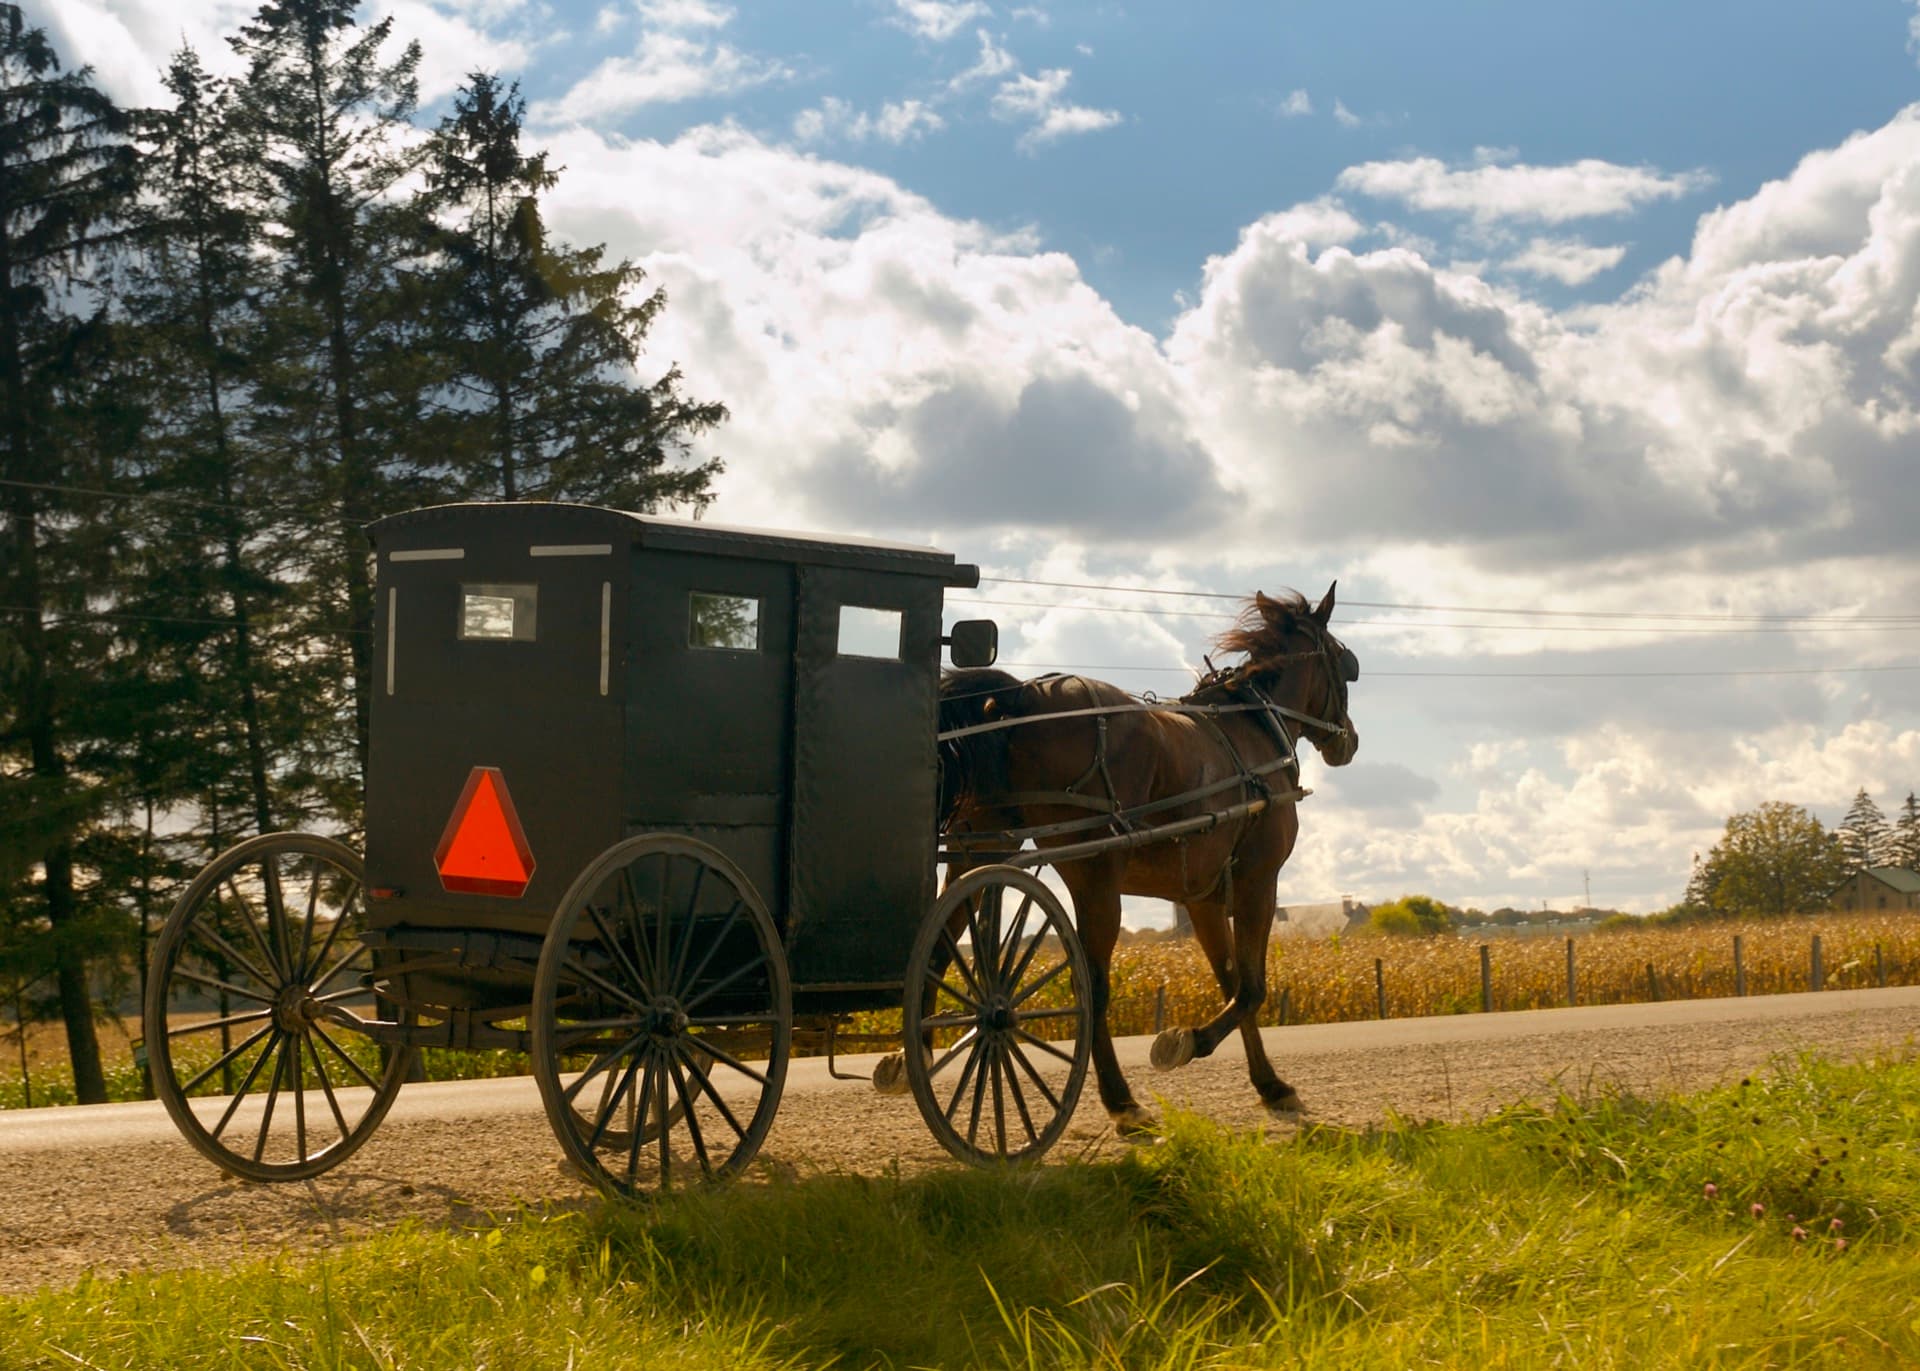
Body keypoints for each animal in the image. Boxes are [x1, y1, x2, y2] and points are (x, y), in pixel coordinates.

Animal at [927, 584, 1358, 1136]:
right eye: (1344, 663)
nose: (1348, 740)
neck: (1253, 732)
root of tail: (1022, 694)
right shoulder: (1258, 880)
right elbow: (1252, 987)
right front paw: (1187, 1042)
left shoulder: (1200, 897)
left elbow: (1231, 980)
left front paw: (1270, 1084)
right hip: (1093, 875)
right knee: (1091, 987)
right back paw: (1122, 1101)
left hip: (978, 852)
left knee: (937, 953)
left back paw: (911, 1058)